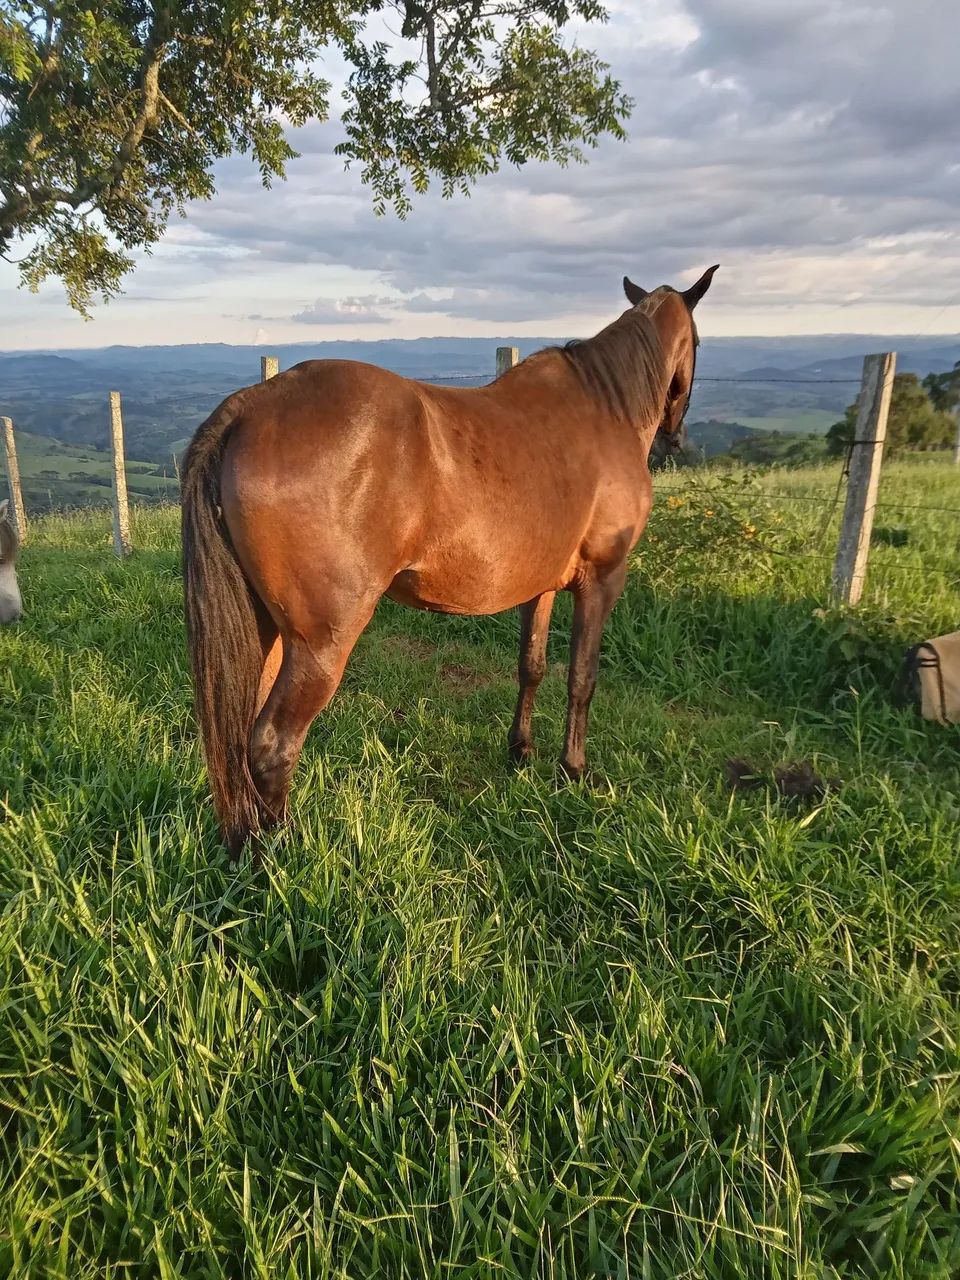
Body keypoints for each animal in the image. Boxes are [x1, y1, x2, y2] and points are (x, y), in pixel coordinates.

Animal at [182, 266, 718, 856]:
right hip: (319, 644)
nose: (676, 436)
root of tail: (251, 406)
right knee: (273, 744)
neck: (606, 409)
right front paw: (573, 769)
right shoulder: (602, 581)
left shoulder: (540, 586)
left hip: (270, 632)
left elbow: (531, 666)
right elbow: (582, 676)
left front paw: (521, 751)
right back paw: (279, 851)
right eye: (699, 342)